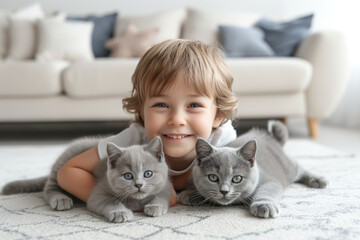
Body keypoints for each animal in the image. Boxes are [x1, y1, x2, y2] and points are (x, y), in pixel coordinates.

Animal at [2, 136, 172, 222]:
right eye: (128, 176)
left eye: (148, 174)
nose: (138, 184)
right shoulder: (98, 193)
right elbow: (110, 201)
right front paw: (120, 212)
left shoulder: (166, 185)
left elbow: (162, 196)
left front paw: (155, 206)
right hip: (62, 165)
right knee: (49, 187)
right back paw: (61, 199)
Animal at [179, 121, 328, 218]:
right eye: (213, 177)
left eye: (237, 178)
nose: (224, 191)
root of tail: (270, 137)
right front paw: (189, 194)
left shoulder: (269, 180)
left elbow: (267, 190)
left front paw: (264, 205)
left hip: (287, 166)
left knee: (299, 168)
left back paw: (318, 180)